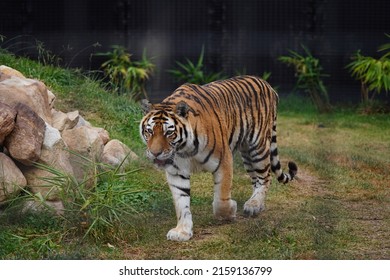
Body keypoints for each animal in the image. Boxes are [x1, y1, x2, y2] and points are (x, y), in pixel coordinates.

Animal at [139, 76, 296, 241]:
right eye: (149, 131)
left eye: (169, 133)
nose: (155, 153)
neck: (184, 149)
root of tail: (267, 85)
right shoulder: (176, 172)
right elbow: (182, 203)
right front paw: (182, 231)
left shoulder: (224, 161)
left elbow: (221, 198)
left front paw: (230, 212)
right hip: (247, 153)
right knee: (256, 179)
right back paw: (256, 204)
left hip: (258, 147)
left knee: (265, 177)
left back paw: (254, 205)